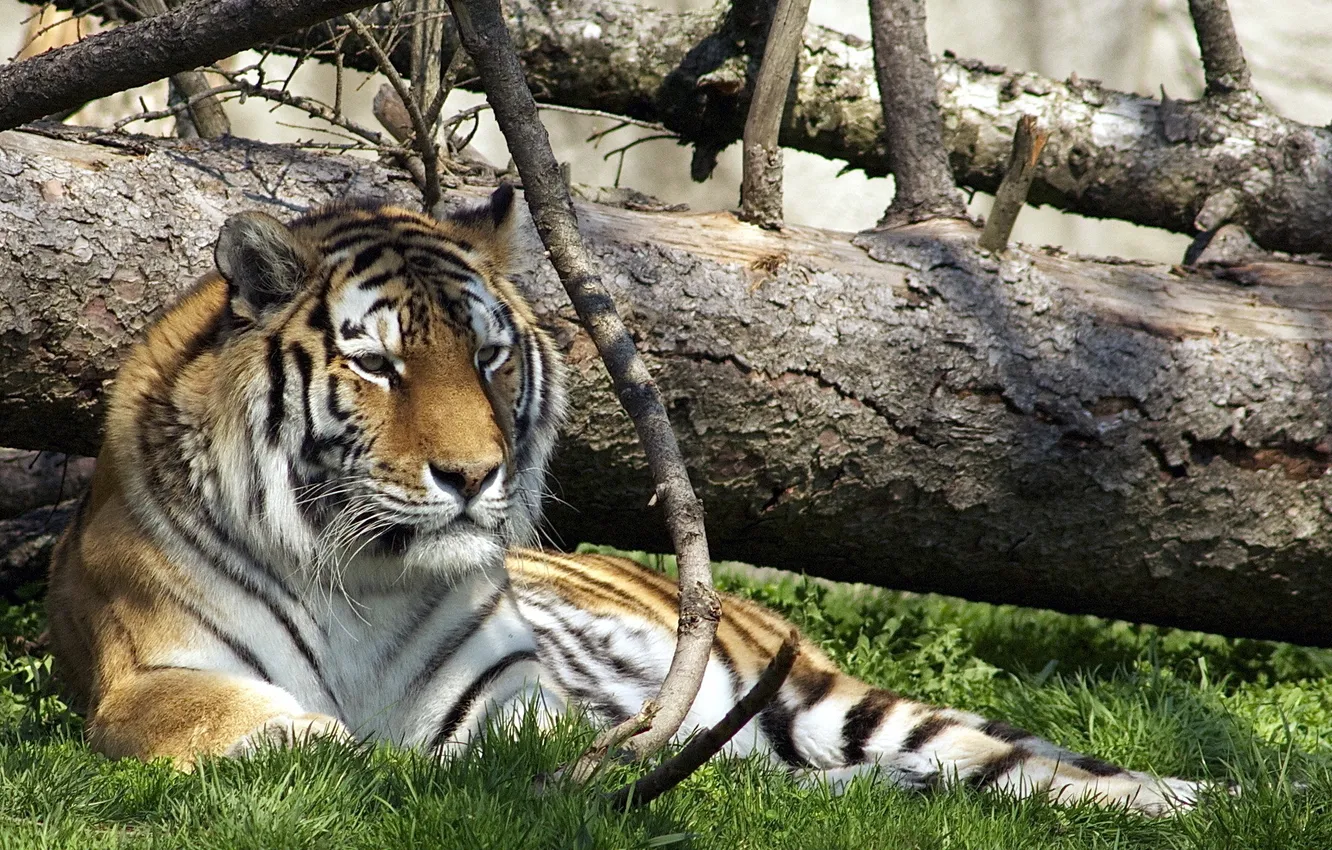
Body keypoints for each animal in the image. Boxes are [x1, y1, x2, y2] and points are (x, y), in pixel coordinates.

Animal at [46, 185, 1205, 815]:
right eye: (376, 365)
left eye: (487, 356)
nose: (473, 477)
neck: (363, 580)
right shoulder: (146, 680)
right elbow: (287, 732)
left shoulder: (508, 707)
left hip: (834, 702)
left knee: (1018, 762)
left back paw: (1196, 797)